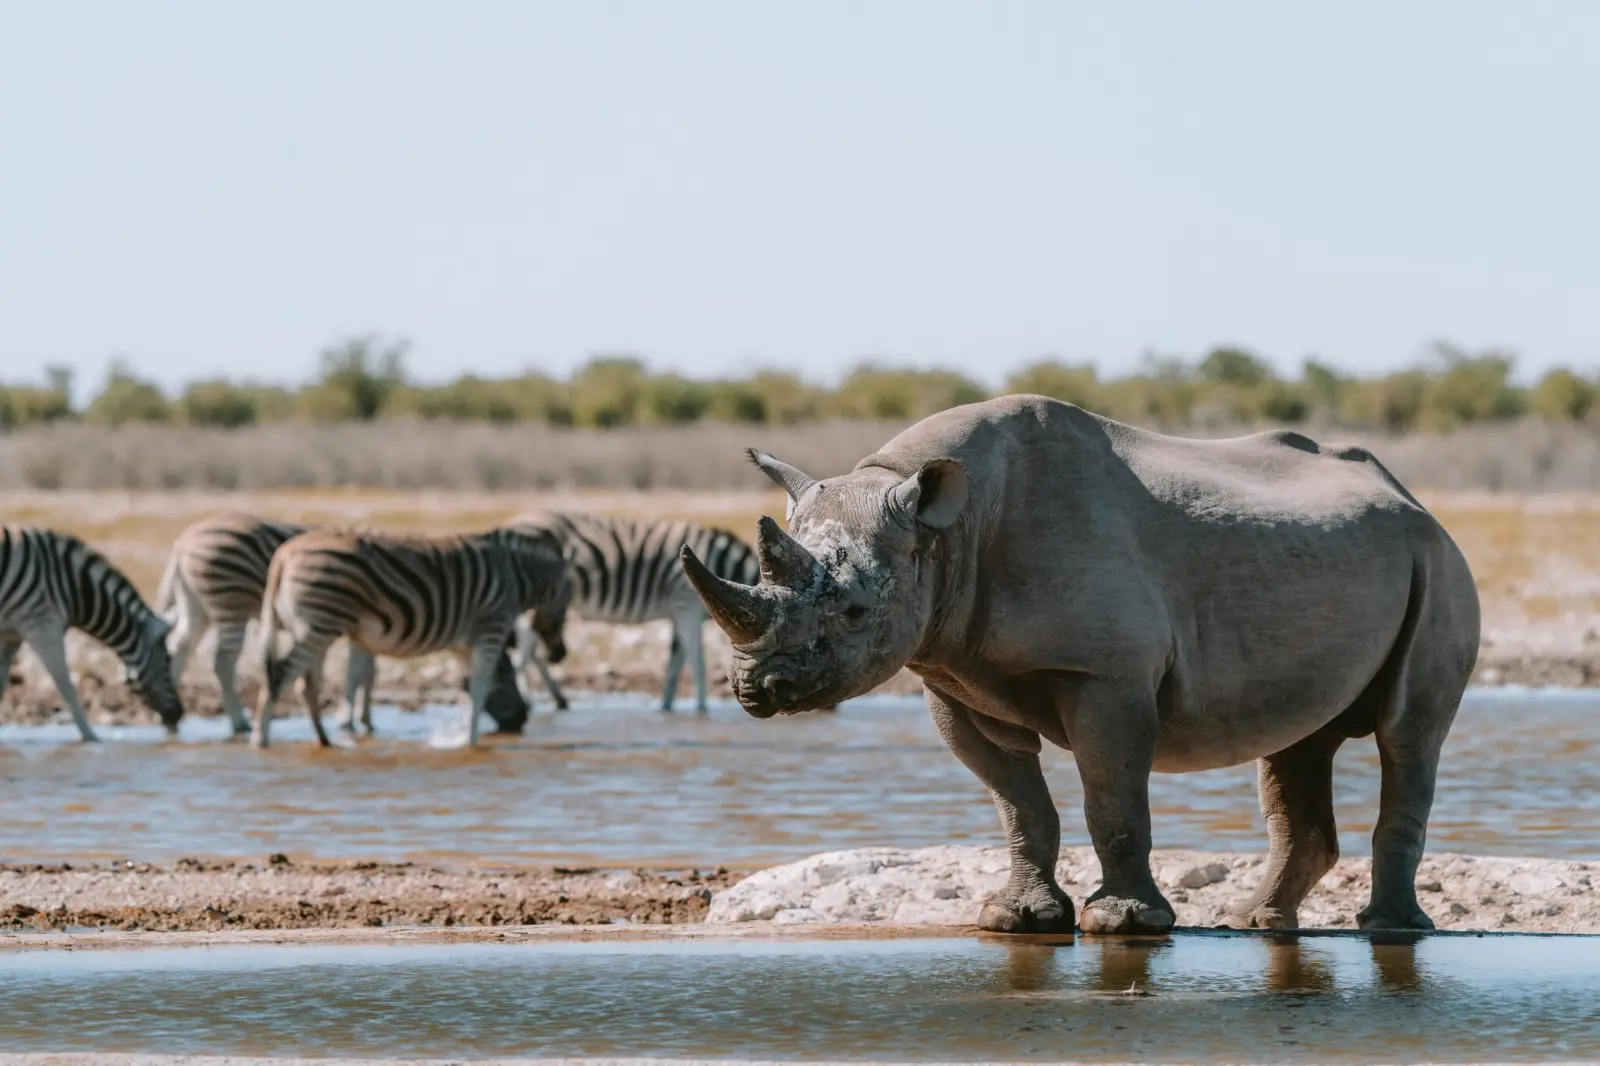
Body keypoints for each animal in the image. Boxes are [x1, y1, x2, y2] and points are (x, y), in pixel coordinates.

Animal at [681, 395, 1480, 935]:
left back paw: (1388, 930)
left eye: (852, 612)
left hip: (1437, 560)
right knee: (1297, 743)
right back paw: (1253, 922)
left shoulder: (1106, 674)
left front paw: (1122, 925)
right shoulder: (951, 675)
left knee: (1407, 735)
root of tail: (1411, 496)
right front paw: (1016, 919)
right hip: (1342, 563)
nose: (758, 688)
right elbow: (1017, 802)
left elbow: (1111, 796)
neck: (946, 532)